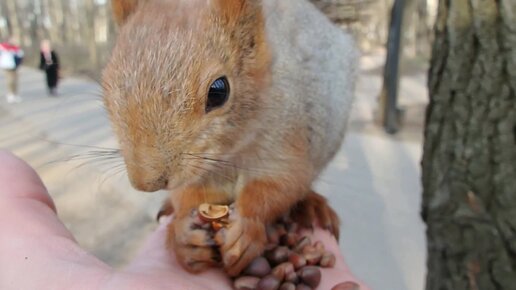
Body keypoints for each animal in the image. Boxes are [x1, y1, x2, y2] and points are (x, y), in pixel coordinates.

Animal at [103, 0, 356, 278]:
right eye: (106, 84)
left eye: (219, 91)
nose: (146, 183)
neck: (228, 155)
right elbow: (188, 195)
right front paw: (183, 237)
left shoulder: (285, 134)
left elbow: (283, 184)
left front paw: (246, 228)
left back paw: (312, 206)